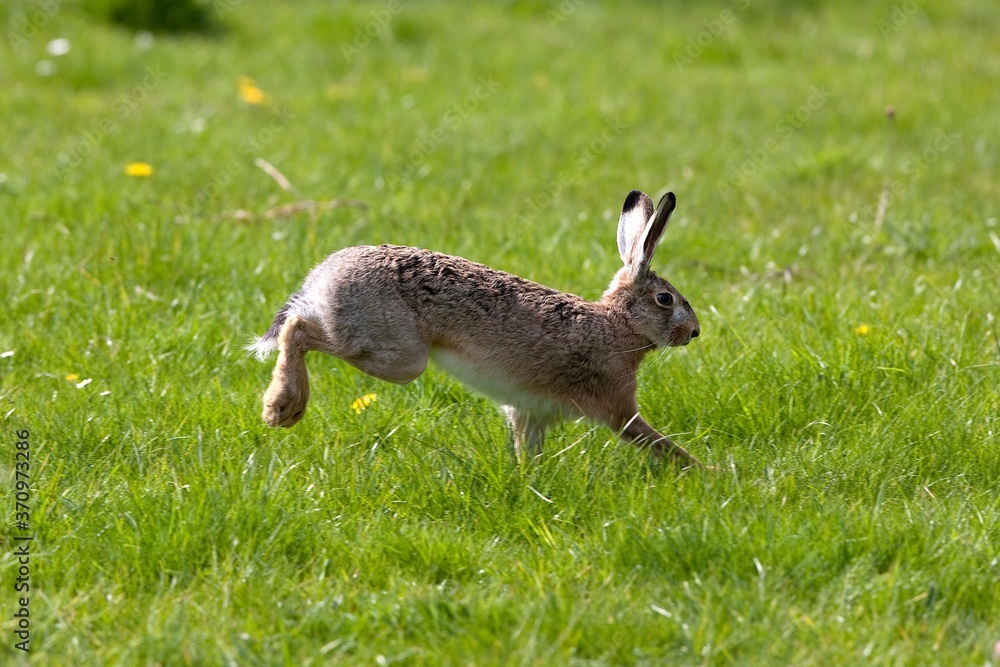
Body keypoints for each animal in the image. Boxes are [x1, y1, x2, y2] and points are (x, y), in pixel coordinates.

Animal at [248, 189, 703, 467]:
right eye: (666, 300)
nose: (695, 333)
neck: (618, 325)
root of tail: (322, 279)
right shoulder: (617, 405)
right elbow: (654, 440)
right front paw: (706, 471)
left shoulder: (530, 413)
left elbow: (527, 448)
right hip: (399, 356)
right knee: (297, 329)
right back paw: (282, 407)